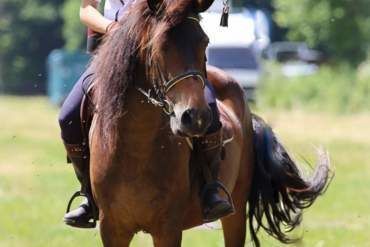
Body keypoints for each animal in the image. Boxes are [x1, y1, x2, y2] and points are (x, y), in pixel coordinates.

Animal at [88, 0, 330, 246]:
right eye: (161, 45)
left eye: (204, 42)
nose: (196, 117)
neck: (137, 145)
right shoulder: (111, 229)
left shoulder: (168, 229)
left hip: (236, 210)